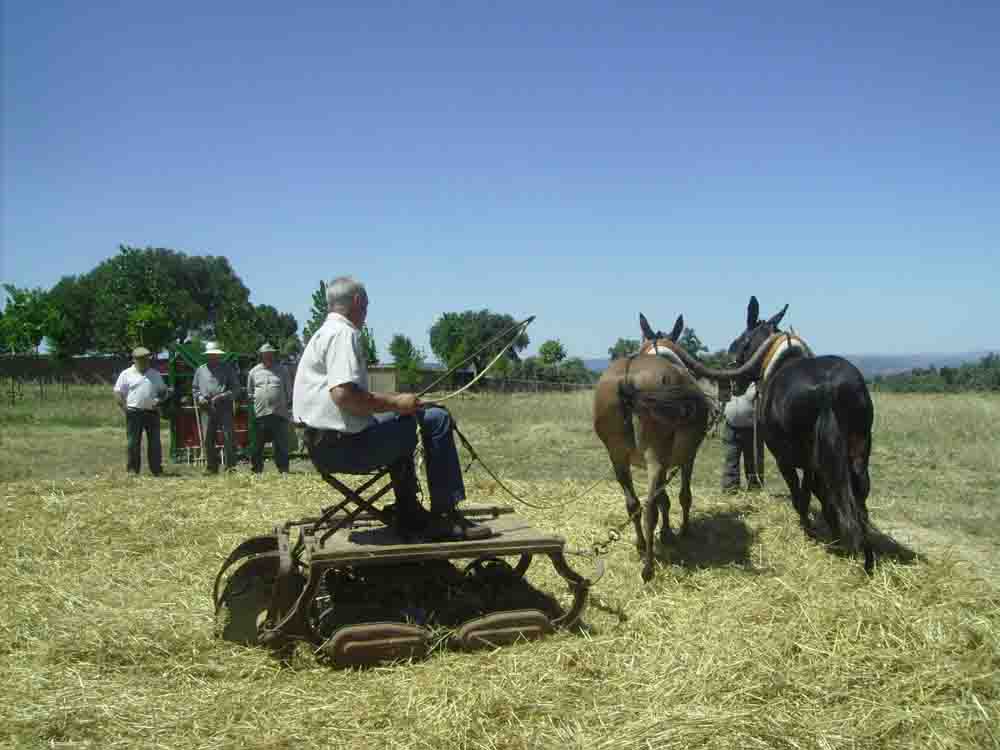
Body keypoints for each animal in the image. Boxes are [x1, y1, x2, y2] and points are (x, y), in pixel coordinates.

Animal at [728, 296, 876, 572]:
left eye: (739, 342)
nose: (734, 384)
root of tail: (827, 387)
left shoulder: (785, 459)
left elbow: (802, 495)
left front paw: (811, 531)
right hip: (859, 448)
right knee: (858, 499)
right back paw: (867, 559)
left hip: (804, 456)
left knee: (812, 494)